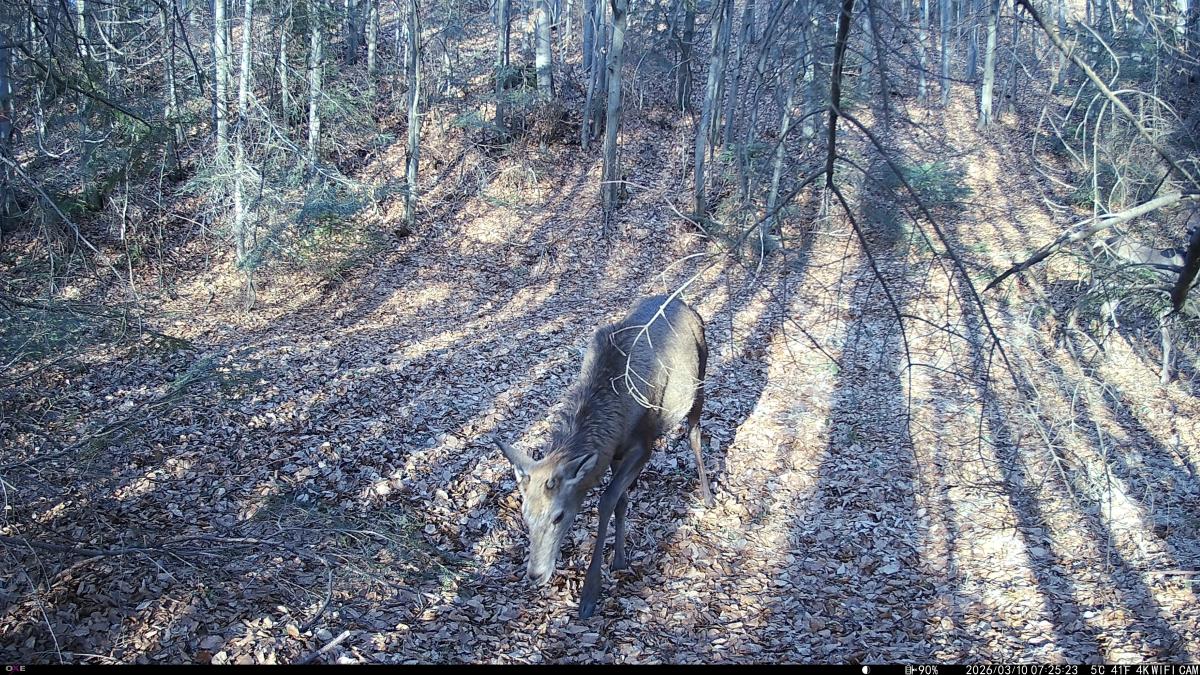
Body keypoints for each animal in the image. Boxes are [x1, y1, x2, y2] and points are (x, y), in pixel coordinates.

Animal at [494, 294, 715, 619]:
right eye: (525, 516)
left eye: (559, 515)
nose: (535, 574)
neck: (615, 418)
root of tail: (687, 304)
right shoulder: (614, 454)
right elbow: (621, 501)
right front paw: (620, 558)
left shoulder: (643, 445)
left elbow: (607, 500)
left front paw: (590, 592)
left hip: (700, 380)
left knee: (695, 434)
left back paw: (707, 494)